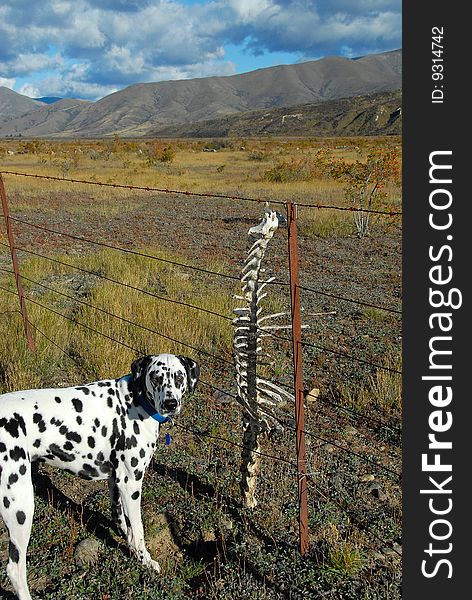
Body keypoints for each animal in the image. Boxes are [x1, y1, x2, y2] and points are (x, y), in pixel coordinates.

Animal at [0, 352, 198, 600]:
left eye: (179, 376)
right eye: (156, 377)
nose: (171, 403)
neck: (135, 400)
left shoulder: (117, 481)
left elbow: (122, 520)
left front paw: (129, 545)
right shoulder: (131, 484)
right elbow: (138, 530)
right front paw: (145, 560)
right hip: (21, 509)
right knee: (14, 568)